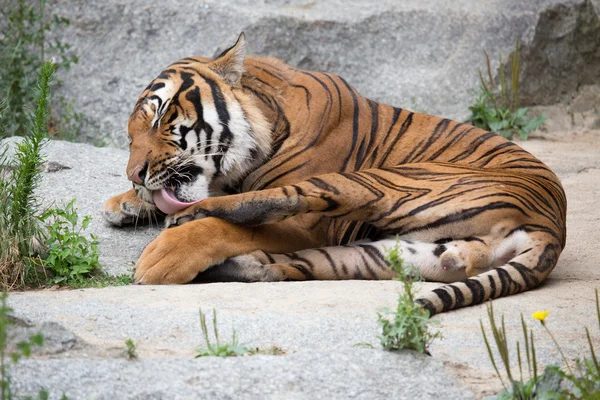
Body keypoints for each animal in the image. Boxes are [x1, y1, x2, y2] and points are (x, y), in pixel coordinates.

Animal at [103, 32, 568, 316]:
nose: (135, 174)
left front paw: (162, 255)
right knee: (289, 266)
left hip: (381, 184)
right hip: (383, 255)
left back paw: (189, 225)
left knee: (260, 205)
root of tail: (552, 227)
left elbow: (225, 225)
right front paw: (123, 204)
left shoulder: (311, 224)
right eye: (129, 136)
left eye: (161, 118)